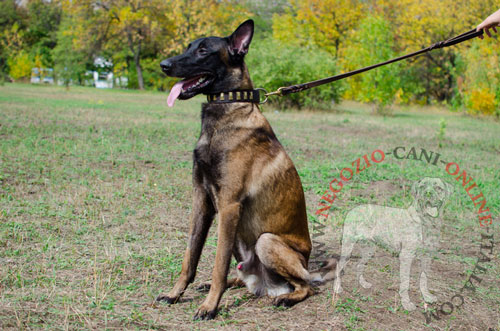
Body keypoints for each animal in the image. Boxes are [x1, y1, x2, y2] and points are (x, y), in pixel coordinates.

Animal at [158, 19, 334, 320]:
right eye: (188, 47)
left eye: (203, 51)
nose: (164, 65)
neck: (228, 107)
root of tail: (266, 286)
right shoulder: (201, 201)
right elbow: (190, 256)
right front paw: (175, 293)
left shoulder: (229, 205)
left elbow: (218, 264)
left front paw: (210, 307)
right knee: (241, 276)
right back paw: (231, 283)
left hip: (266, 241)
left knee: (307, 286)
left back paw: (286, 297)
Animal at [332, 179, 454, 312]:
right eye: (422, 186)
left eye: (438, 188)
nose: (428, 194)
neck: (426, 222)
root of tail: (352, 209)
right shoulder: (406, 256)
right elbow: (405, 282)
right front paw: (406, 303)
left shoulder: (427, 256)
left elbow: (424, 278)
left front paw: (427, 296)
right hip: (348, 247)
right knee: (339, 266)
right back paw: (337, 288)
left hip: (369, 249)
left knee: (359, 265)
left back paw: (363, 284)